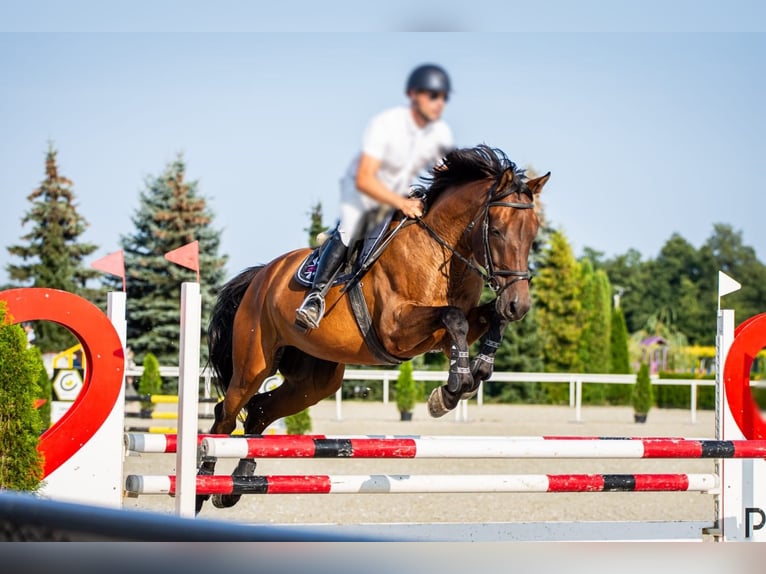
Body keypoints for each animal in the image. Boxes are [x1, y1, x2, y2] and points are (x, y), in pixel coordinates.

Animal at [196, 145, 544, 512]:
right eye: (497, 231)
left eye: (533, 232)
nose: (519, 305)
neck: (440, 248)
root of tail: (262, 275)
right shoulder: (395, 330)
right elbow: (454, 318)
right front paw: (453, 388)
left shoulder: (442, 332)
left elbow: (486, 320)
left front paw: (476, 370)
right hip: (254, 364)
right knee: (226, 413)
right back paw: (204, 486)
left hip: (313, 380)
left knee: (261, 410)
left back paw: (238, 484)